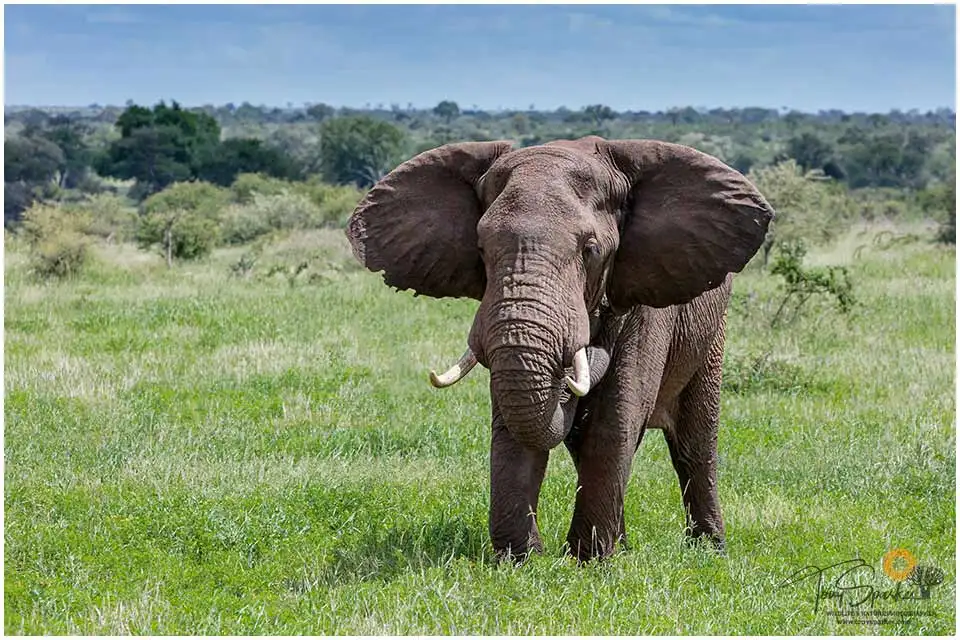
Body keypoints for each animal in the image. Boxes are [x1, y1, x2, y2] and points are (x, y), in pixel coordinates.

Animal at [345, 136, 774, 562]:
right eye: (481, 250)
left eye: (591, 250)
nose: (589, 344)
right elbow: (516, 424)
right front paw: (521, 560)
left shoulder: (646, 304)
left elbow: (615, 418)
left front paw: (588, 561)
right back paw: (625, 546)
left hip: (710, 334)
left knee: (693, 442)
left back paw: (708, 550)